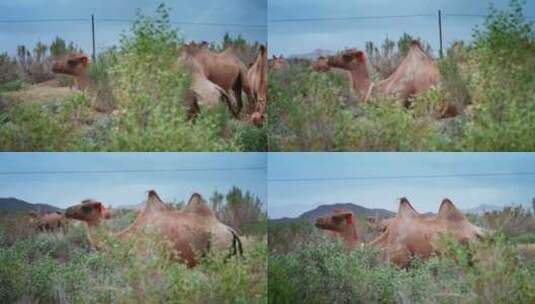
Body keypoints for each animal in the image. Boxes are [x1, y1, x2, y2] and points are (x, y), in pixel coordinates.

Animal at [63, 191, 244, 268]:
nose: (66, 211)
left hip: (218, 249)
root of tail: (231, 231)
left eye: (86, 207)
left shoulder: (149, 260)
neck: (126, 239)